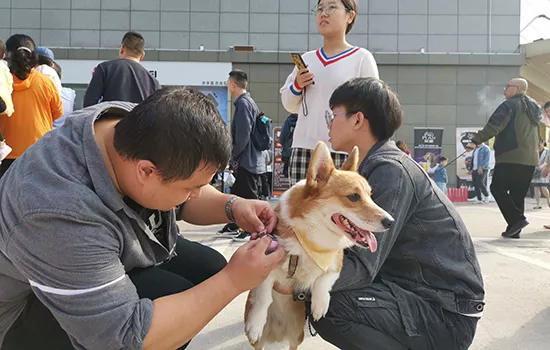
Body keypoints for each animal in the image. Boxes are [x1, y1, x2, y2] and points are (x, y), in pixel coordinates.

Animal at [244, 141, 394, 348]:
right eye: (353, 197)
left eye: (370, 195)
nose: (390, 222)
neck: (314, 238)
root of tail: (278, 334)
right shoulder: (266, 261)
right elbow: (263, 296)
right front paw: (255, 325)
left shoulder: (335, 263)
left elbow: (324, 279)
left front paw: (319, 305)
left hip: (297, 334)